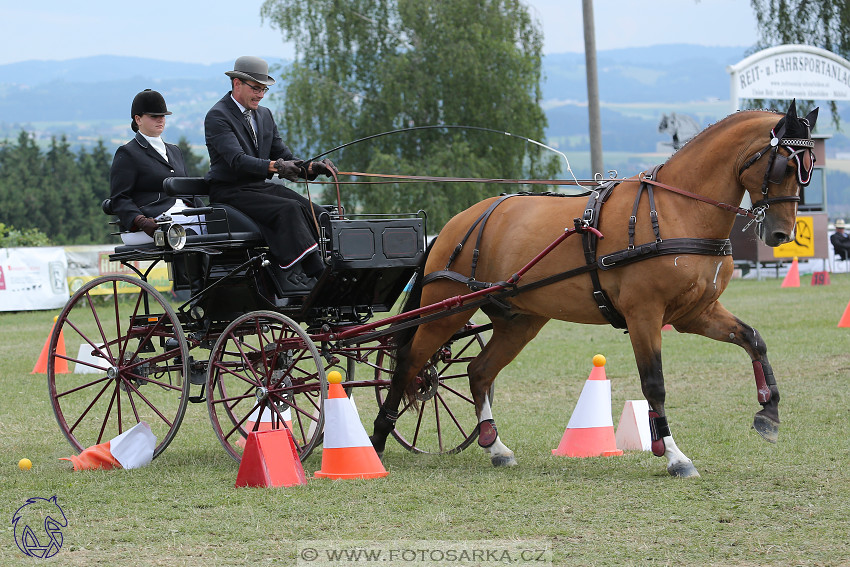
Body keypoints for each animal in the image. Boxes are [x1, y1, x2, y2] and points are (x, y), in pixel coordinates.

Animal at [370, 102, 816, 480]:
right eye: (783, 165)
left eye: (808, 168)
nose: (781, 234)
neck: (678, 210)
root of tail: (456, 223)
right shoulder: (644, 314)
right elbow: (654, 383)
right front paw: (673, 455)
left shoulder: (694, 314)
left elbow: (753, 340)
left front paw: (769, 413)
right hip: (446, 309)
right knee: (410, 362)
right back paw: (376, 436)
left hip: (520, 319)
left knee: (478, 371)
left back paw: (495, 446)